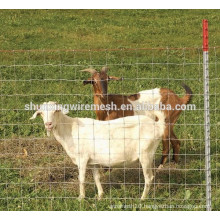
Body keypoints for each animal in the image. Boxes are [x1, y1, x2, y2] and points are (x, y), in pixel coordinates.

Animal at [30, 102, 165, 200]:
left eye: (56, 111)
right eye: (41, 113)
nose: (48, 124)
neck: (70, 129)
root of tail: (158, 126)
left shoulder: (82, 158)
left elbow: (81, 178)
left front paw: (81, 198)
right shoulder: (93, 161)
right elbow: (96, 177)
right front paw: (100, 196)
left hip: (145, 154)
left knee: (149, 177)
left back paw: (142, 199)